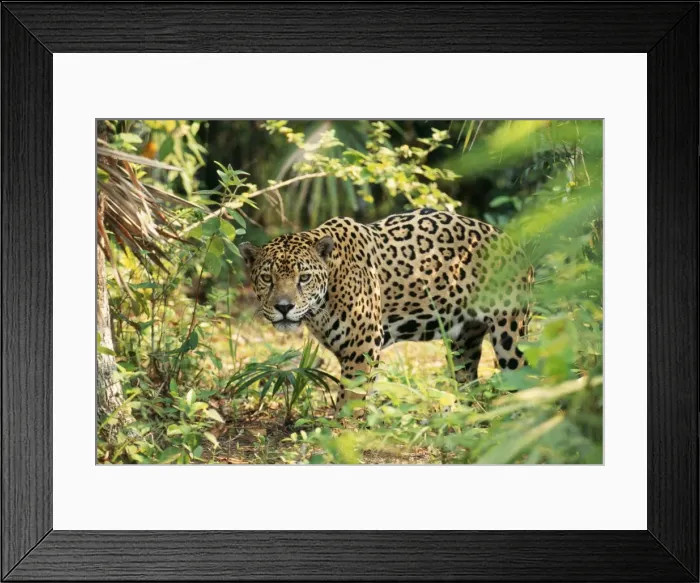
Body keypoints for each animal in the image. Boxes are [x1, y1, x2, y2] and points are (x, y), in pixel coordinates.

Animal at [239, 208, 534, 413]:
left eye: (304, 278)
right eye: (267, 278)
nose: (284, 307)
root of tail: (514, 243)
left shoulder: (362, 344)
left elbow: (351, 398)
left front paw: (340, 432)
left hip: (510, 335)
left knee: (525, 375)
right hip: (464, 342)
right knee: (468, 379)